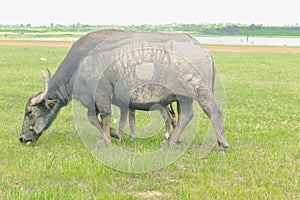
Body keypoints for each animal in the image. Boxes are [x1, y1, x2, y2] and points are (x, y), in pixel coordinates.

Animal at [19, 28, 230, 152]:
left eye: (29, 112)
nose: (22, 138)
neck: (81, 64)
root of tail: (205, 51)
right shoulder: (96, 101)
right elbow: (95, 118)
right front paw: (115, 135)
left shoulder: (102, 94)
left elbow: (104, 116)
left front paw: (106, 139)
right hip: (183, 97)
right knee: (185, 116)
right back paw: (170, 141)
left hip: (200, 90)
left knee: (214, 111)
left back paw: (222, 145)